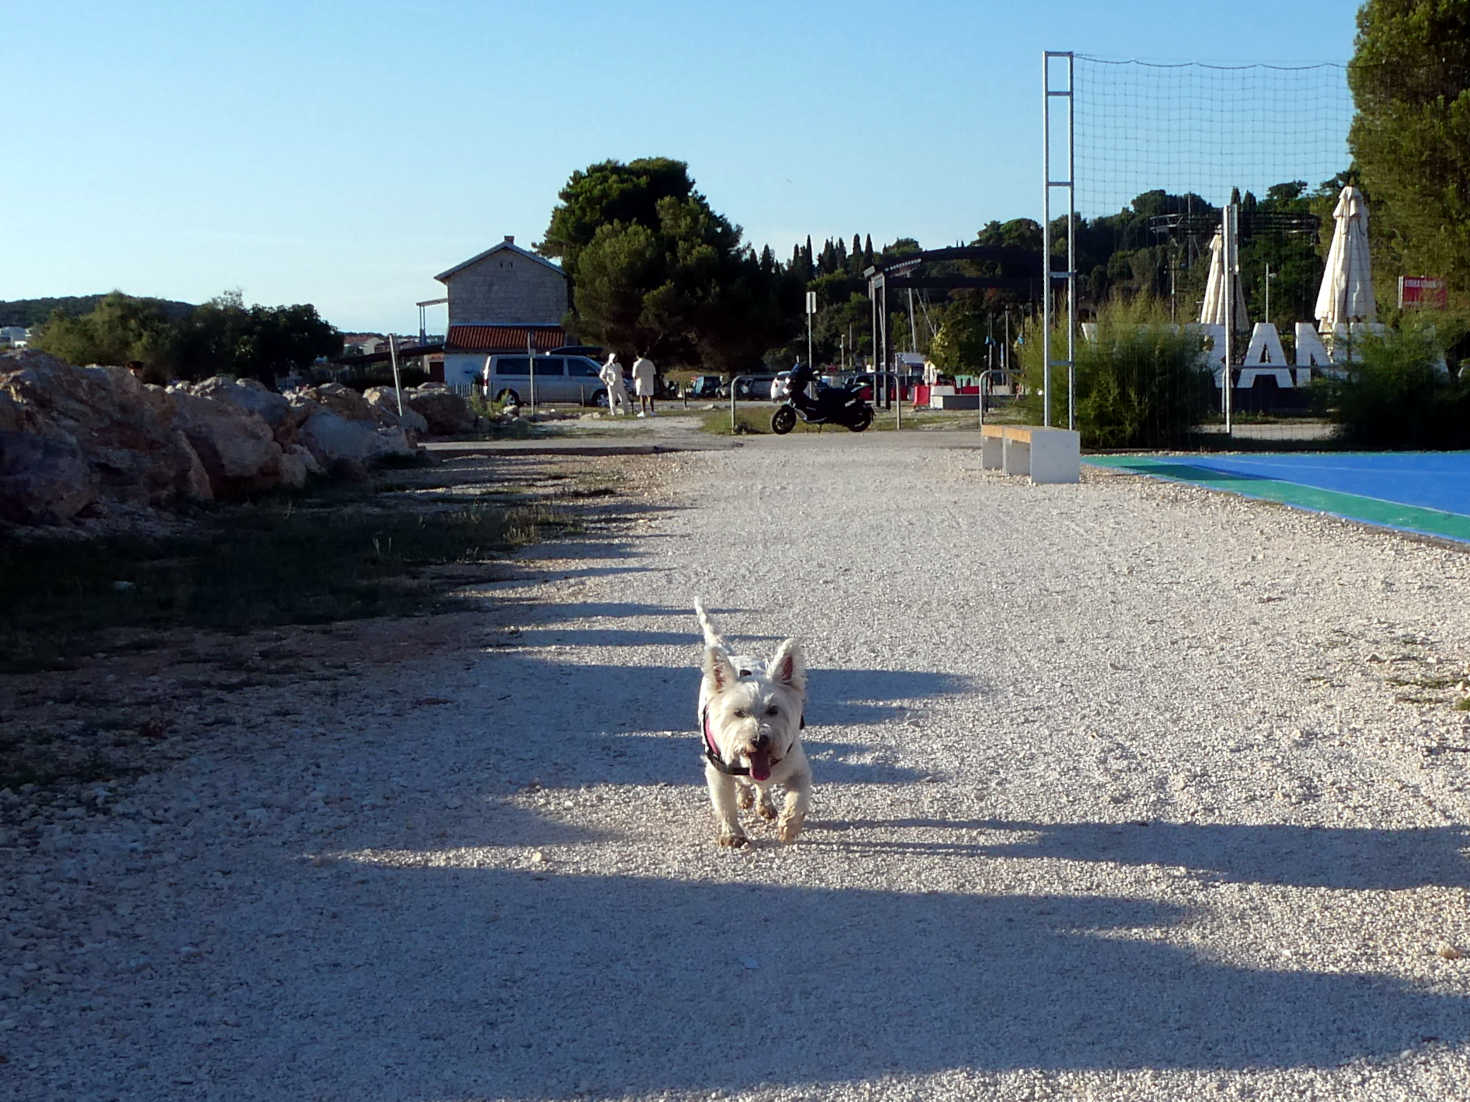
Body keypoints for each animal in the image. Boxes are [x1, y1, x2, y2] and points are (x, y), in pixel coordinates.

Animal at [693, 599, 811, 852]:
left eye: (773, 710)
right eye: (738, 713)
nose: (759, 740)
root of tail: (734, 656)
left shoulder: (798, 767)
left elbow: (798, 799)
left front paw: (789, 827)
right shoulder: (718, 772)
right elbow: (725, 805)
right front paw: (733, 834)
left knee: (762, 786)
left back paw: (764, 804)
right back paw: (745, 796)